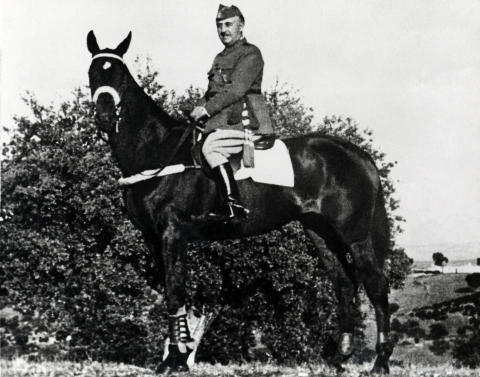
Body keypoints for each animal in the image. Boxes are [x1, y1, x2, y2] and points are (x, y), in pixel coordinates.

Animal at [86, 32, 394, 374]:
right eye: (93, 74)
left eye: (121, 76)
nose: (104, 116)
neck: (157, 149)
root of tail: (359, 156)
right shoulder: (153, 238)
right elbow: (170, 291)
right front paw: (174, 356)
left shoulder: (172, 233)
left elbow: (175, 290)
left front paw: (176, 359)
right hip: (320, 234)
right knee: (345, 285)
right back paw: (340, 357)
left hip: (356, 235)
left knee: (376, 286)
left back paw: (381, 360)